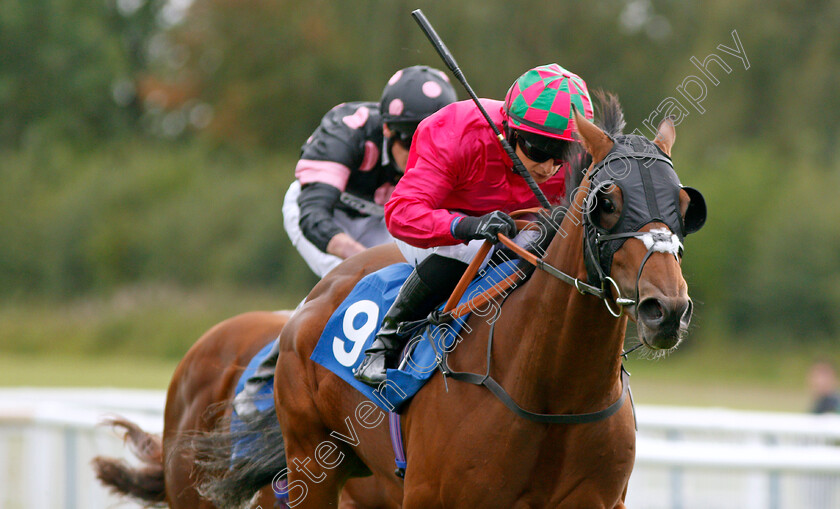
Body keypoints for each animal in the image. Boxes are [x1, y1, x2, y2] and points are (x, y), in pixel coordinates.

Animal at [197, 93, 704, 506]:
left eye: (685, 206)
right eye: (608, 203)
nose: (667, 310)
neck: (554, 397)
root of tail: (312, 301)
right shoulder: (430, 495)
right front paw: (487, 225)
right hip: (311, 461)